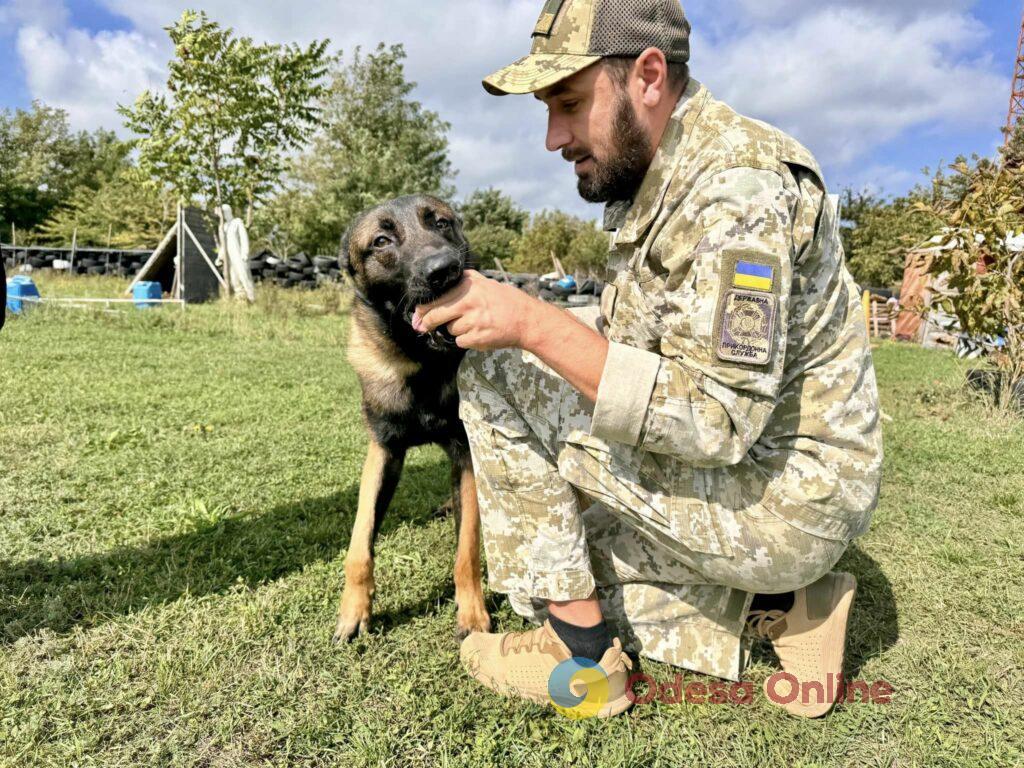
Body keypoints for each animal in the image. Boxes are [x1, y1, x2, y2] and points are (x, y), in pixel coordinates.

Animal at [333, 195, 493, 647]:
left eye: (441, 223)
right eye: (381, 241)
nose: (444, 271)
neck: (422, 363)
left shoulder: (465, 453)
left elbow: (466, 549)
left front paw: (472, 613)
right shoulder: (384, 451)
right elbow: (359, 541)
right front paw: (354, 612)